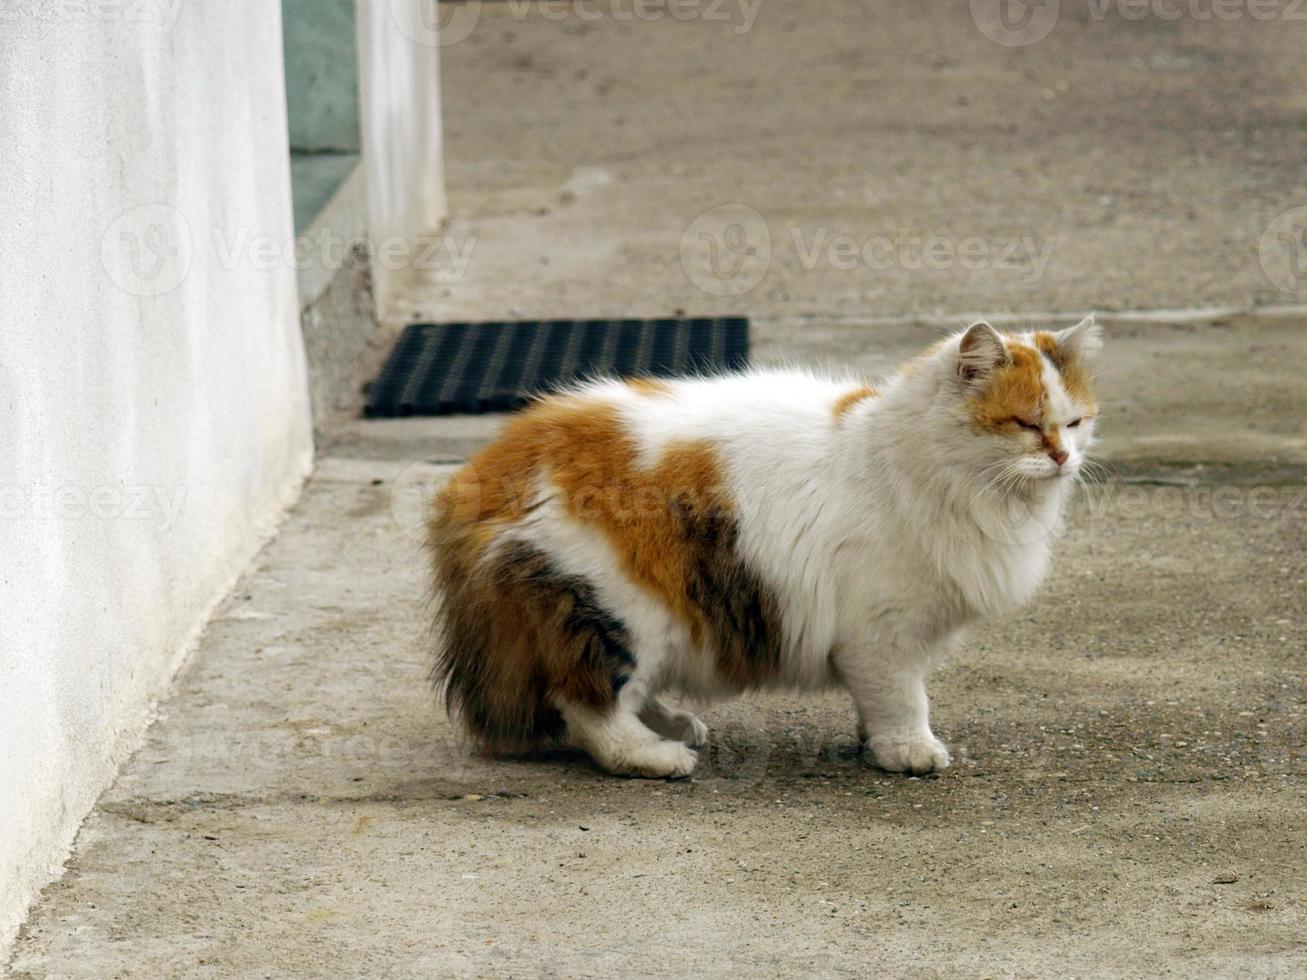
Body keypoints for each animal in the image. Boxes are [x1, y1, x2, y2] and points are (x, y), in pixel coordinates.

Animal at [428, 318, 1103, 778]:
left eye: (1074, 423)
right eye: (1024, 423)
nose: (1062, 457)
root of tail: (491, 465)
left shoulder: (880, 641)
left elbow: (877, 701)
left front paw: (873, 740)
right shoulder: (882, 633)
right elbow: (903, 698)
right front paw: (908, 750)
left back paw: (676, 725)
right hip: (621, 610)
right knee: (590, 705)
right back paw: (658, 756)